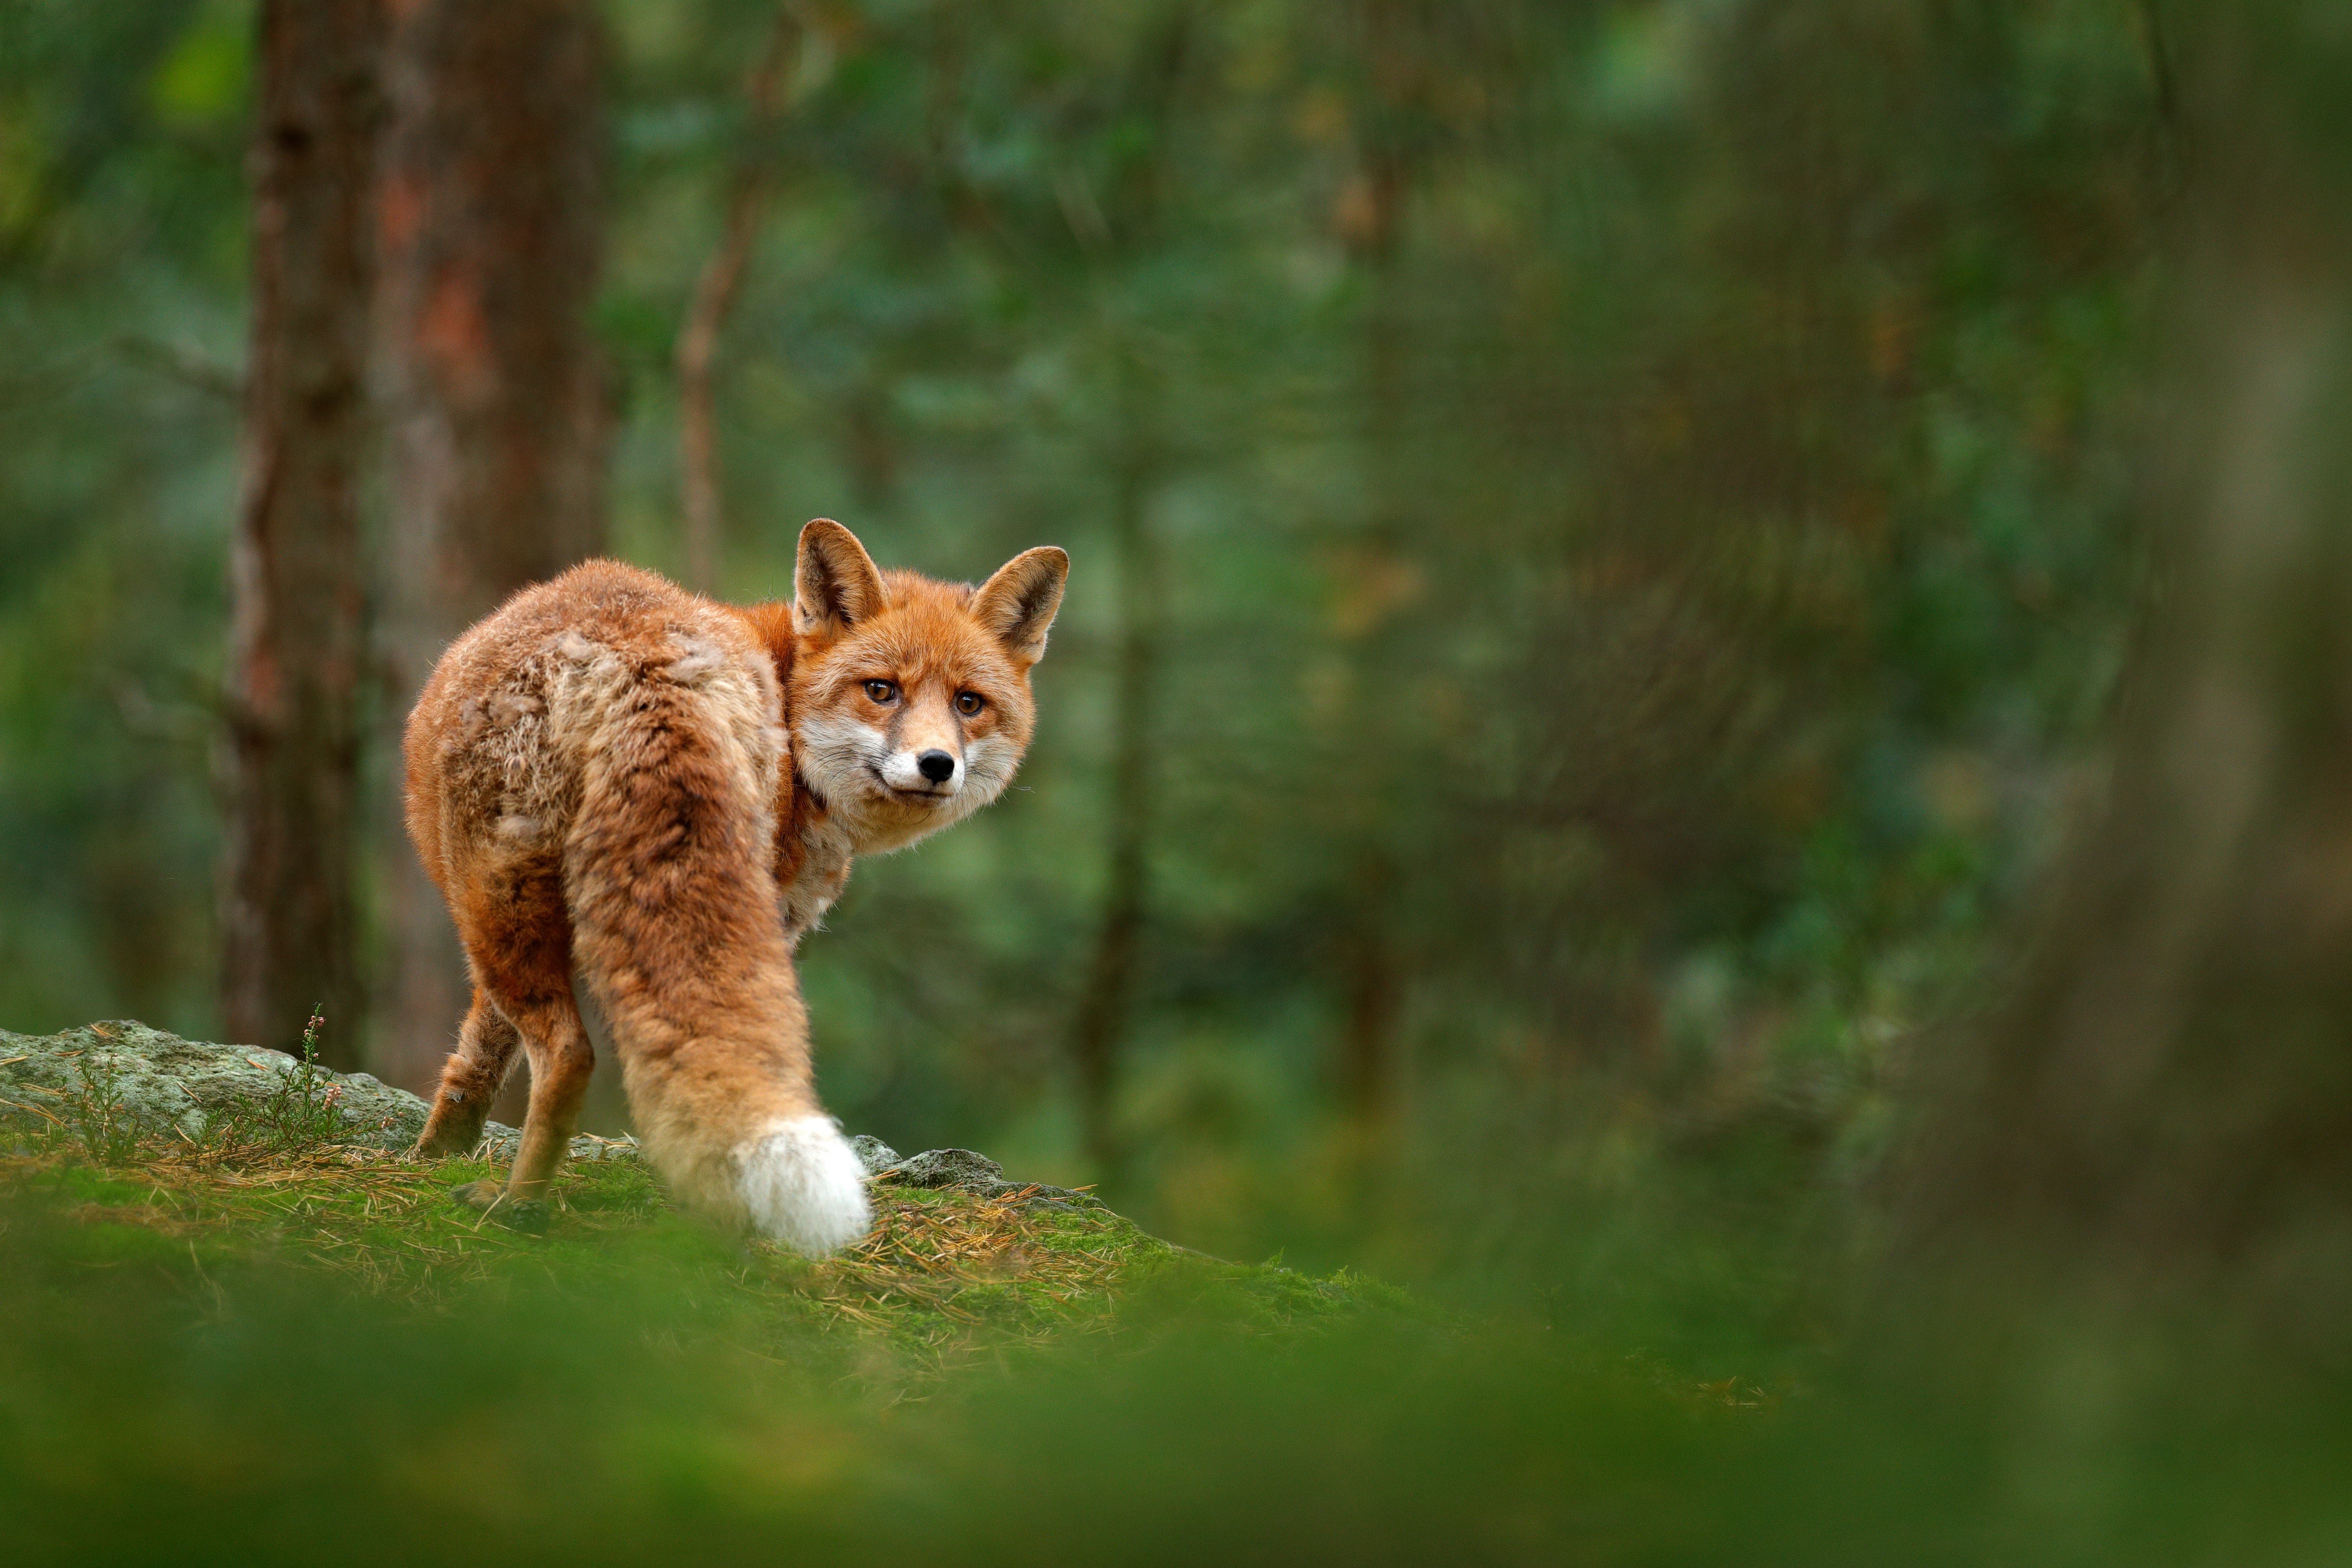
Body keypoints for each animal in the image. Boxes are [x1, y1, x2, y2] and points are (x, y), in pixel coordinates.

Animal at [401, 518, 1067, 1252]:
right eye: (881, 690)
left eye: (968, 703)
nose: (936, 763)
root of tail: (643, 663)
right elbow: (480, 1054)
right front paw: (436, 1154)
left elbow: (476, 1055)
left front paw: (433, 1157)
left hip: (493, 902)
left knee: (569, 1055)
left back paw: (519, 1204)